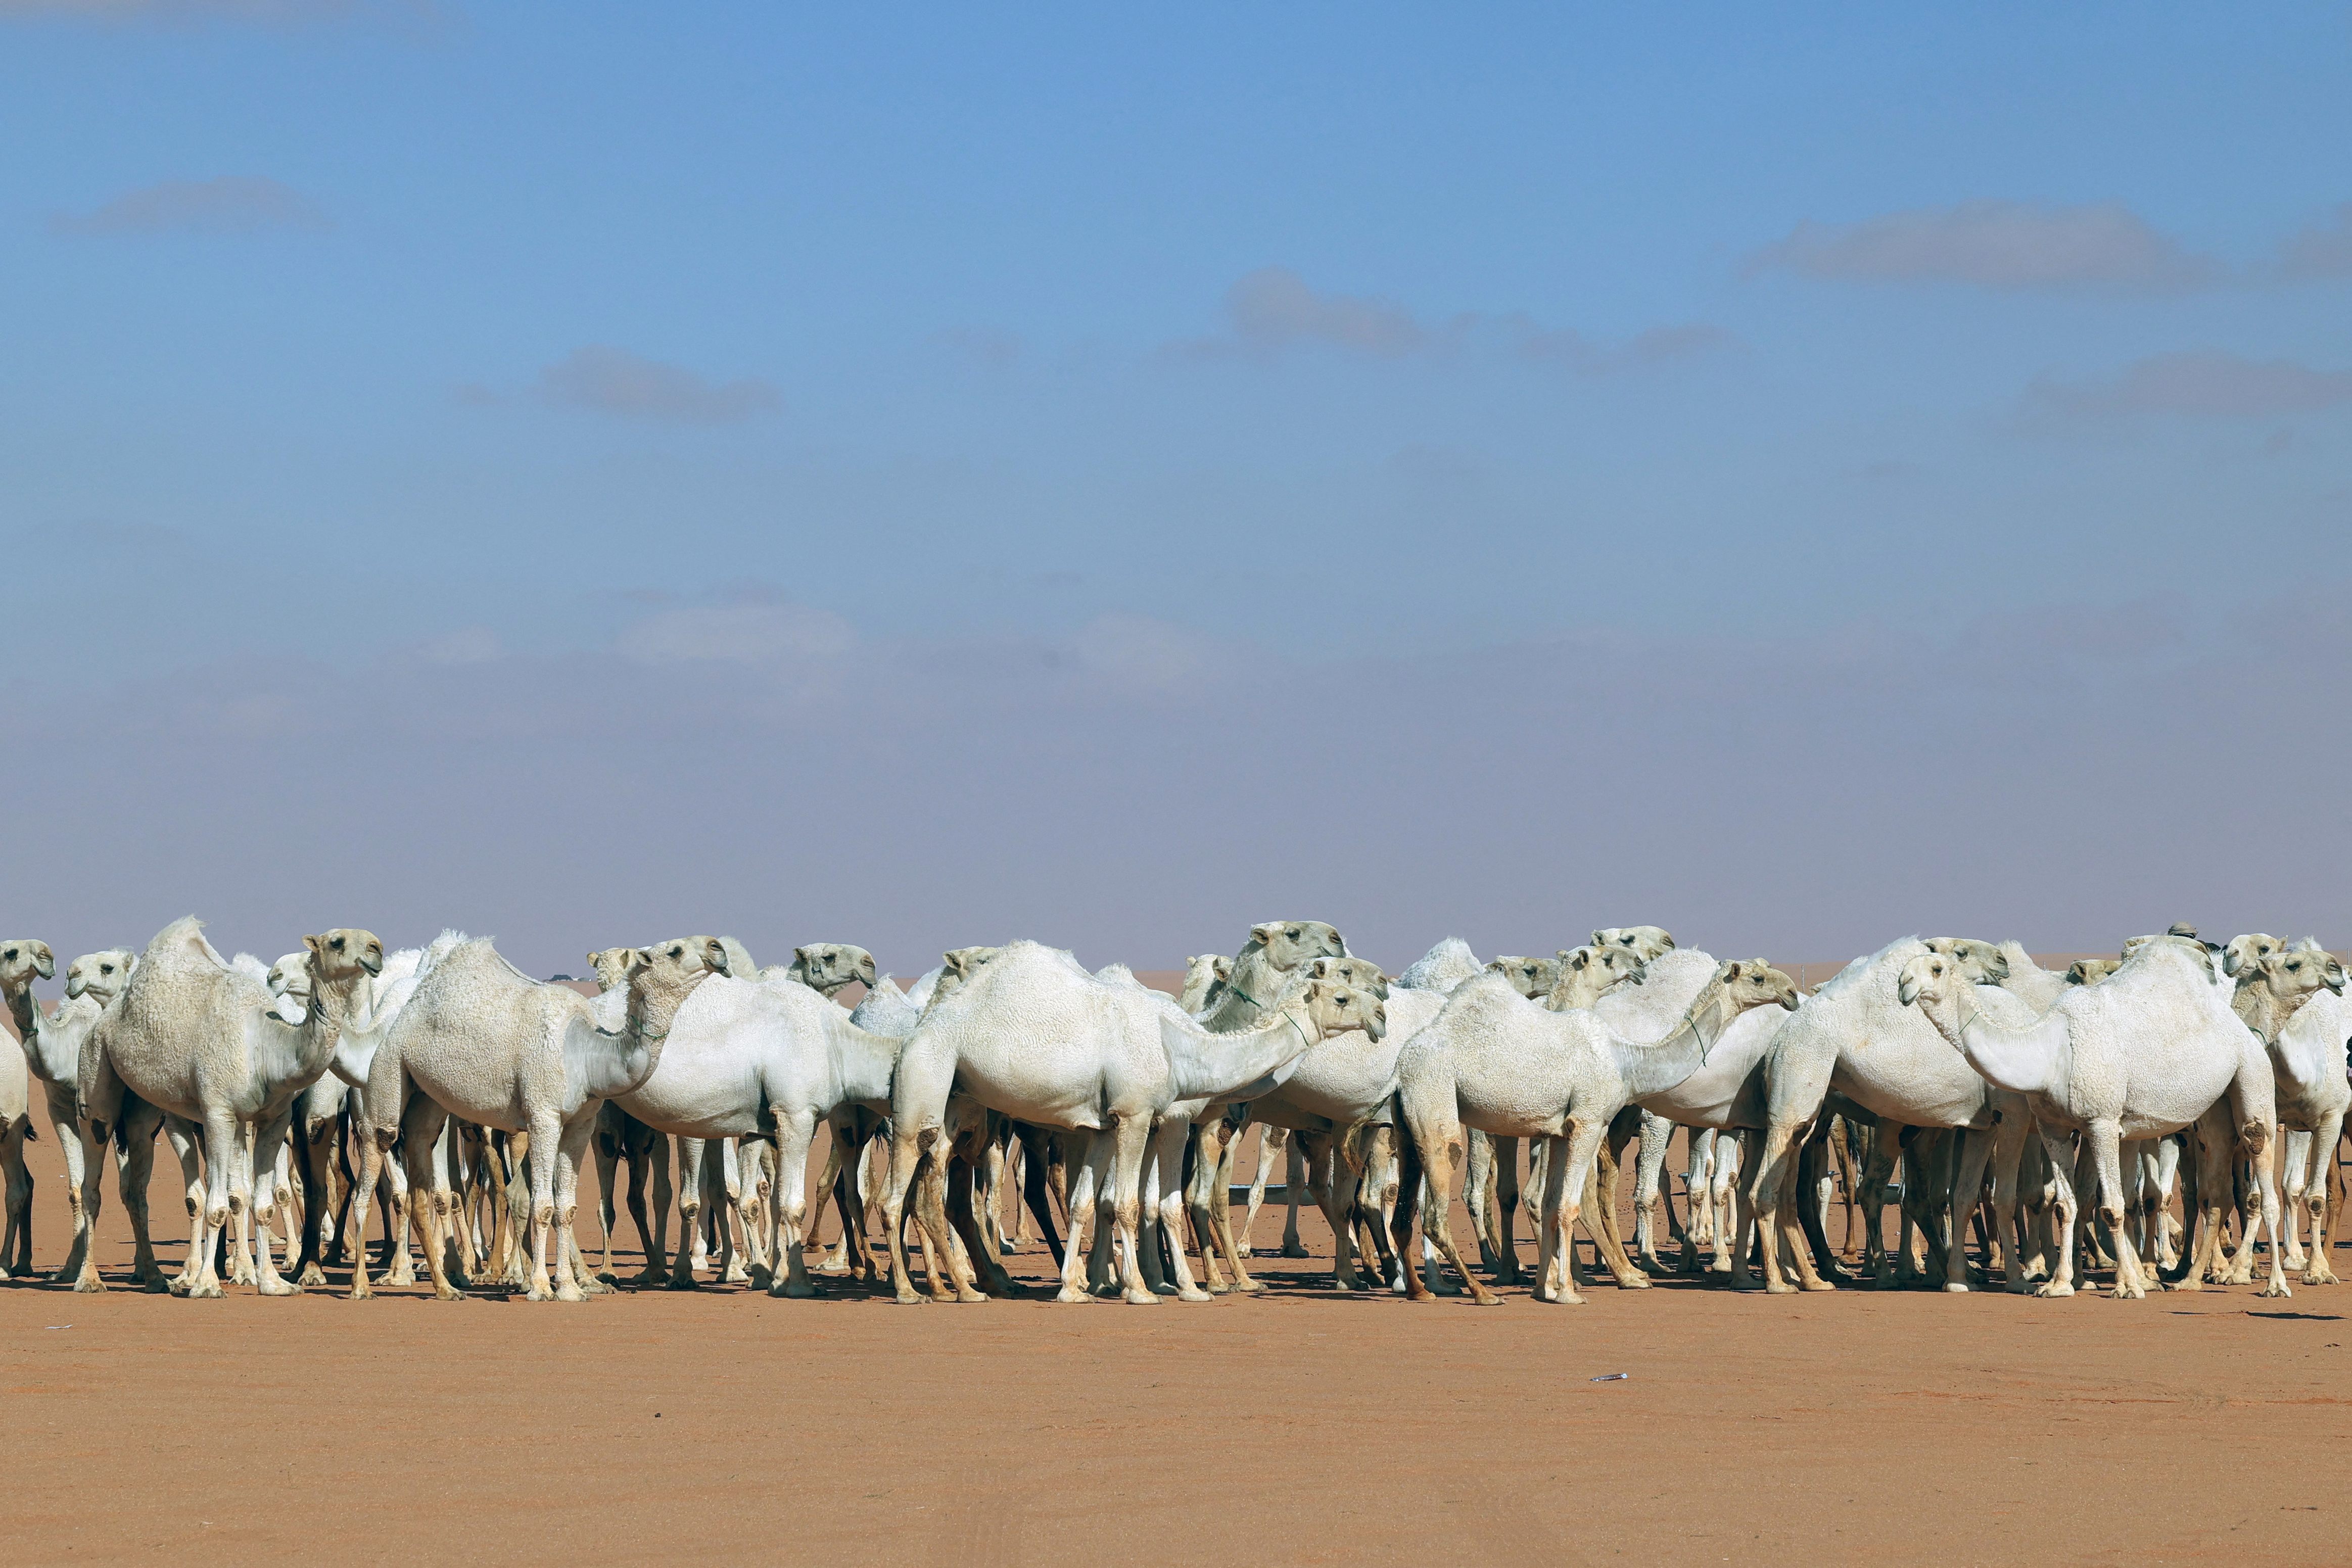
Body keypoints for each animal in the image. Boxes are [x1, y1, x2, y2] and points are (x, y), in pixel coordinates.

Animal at [78, 918, 381, 1298]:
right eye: (337, 941)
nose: (376, 949)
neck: (265, 1046)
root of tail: (103, 1020)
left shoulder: (273, 1119)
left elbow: (262, 1203)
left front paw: (272, 1282)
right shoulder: (218, 1114)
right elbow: (216, 1205)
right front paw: (207, 1284)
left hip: (145, 1114)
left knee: (136, 1186)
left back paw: (154, 1277)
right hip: (95, 1075)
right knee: (92, 1179)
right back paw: (89, 1279)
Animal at [351, 935, 723, 1302]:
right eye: (675, 950)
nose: (717, 948)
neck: (584, 1053)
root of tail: (407, 1012)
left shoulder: (582, 1123)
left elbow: (567, 1207)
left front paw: (570, 1288)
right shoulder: (543, 1115)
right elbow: (543, 1205)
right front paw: (542, 1287)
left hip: (427, 1096)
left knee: (419, 1151)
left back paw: (446, 1288)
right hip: (389, 1066)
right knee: (378, 1146)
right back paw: (362, 1286)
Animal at [881, 939, 1379, 1305]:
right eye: (1342, 993)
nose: (1380, 1014)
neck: (1181, 1045)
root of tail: (919, 1028)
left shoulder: (1106, 1123)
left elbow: (1085, 1201)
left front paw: (1075, 1288)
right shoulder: (1140, 1114)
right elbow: (1135, 1204)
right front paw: (1153, 1289)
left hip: (961, 1102)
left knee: (932, 1185)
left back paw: (963, 1286)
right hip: (926, 1073)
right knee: (898, 1186)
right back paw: (917, 1291)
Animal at [1389, 958, 1800, 1305]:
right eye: (1758, 977)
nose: (1792, 993)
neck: (1626, 1061)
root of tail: (1400, 1068)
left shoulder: (1559, 1130)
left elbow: (1550, 1204)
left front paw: (1545, 1289)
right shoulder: (1588, 1120)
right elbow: (1568, 1205)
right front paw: (1569, 1292)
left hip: (1407, 1125)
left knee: (1406, 1211)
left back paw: (1422, 1289)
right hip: (1435, 1100)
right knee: (1436, 1209)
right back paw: (1481, 1291)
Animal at [1897, 934, 2294, 1299]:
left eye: (1937, 968)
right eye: (1907, 968)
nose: (1903, 985)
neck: (2051, 1052)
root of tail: (2241, 1026)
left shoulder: (2102, 1123)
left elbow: (2113, 1207)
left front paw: (2129, 1285)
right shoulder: (2053, 1127)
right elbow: (2064, 1204)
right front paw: (2058, 1284)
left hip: (2252, 1074)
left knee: (2260, 1160)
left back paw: (2273, 1283)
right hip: (2214, 1107)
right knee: (2218, 1182)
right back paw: (2192, 1279)